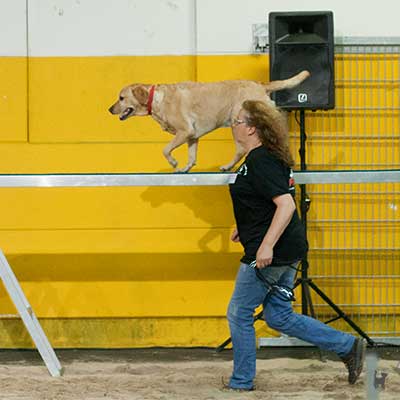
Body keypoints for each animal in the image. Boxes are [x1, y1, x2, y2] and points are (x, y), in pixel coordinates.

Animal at [108, 71, 310, 171]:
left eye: (121, 98)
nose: (109, 109)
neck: (156, 99)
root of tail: (260, 85)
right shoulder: (192, 136)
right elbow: (191, 155)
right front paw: (185, 168)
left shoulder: (184, 131)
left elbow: (165, 149)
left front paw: (173, 163)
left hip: (238, 120)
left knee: (242, 149)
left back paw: (228, 166)